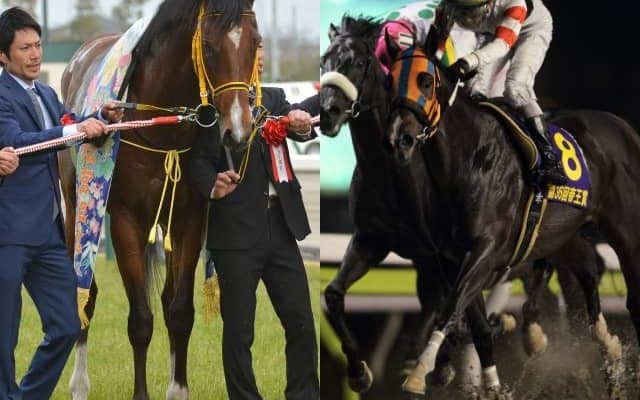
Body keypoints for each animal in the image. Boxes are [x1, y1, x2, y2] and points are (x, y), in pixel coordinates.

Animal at [58, 1, 260, 399]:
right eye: (209, 47)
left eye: (256, 42)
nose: (238, 131)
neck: (159, 128)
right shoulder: (125, 220)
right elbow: (140, 319)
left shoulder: (188, 220)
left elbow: (178, 312)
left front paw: (177, 389)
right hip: (76, 207)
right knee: (84, 293)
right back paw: (79, 384)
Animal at [384, 36, 638, 397]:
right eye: (389, 81)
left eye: (426, 81)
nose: (398, 138)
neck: (467, 160)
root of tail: (625, 128)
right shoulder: (452, 257)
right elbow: (473, 321)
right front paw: (491, 385)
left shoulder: (486, 250)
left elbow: (451, 306)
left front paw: (419, 372)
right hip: (563, 235)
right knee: (589, 273)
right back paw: (607, 346)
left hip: (627, 232)